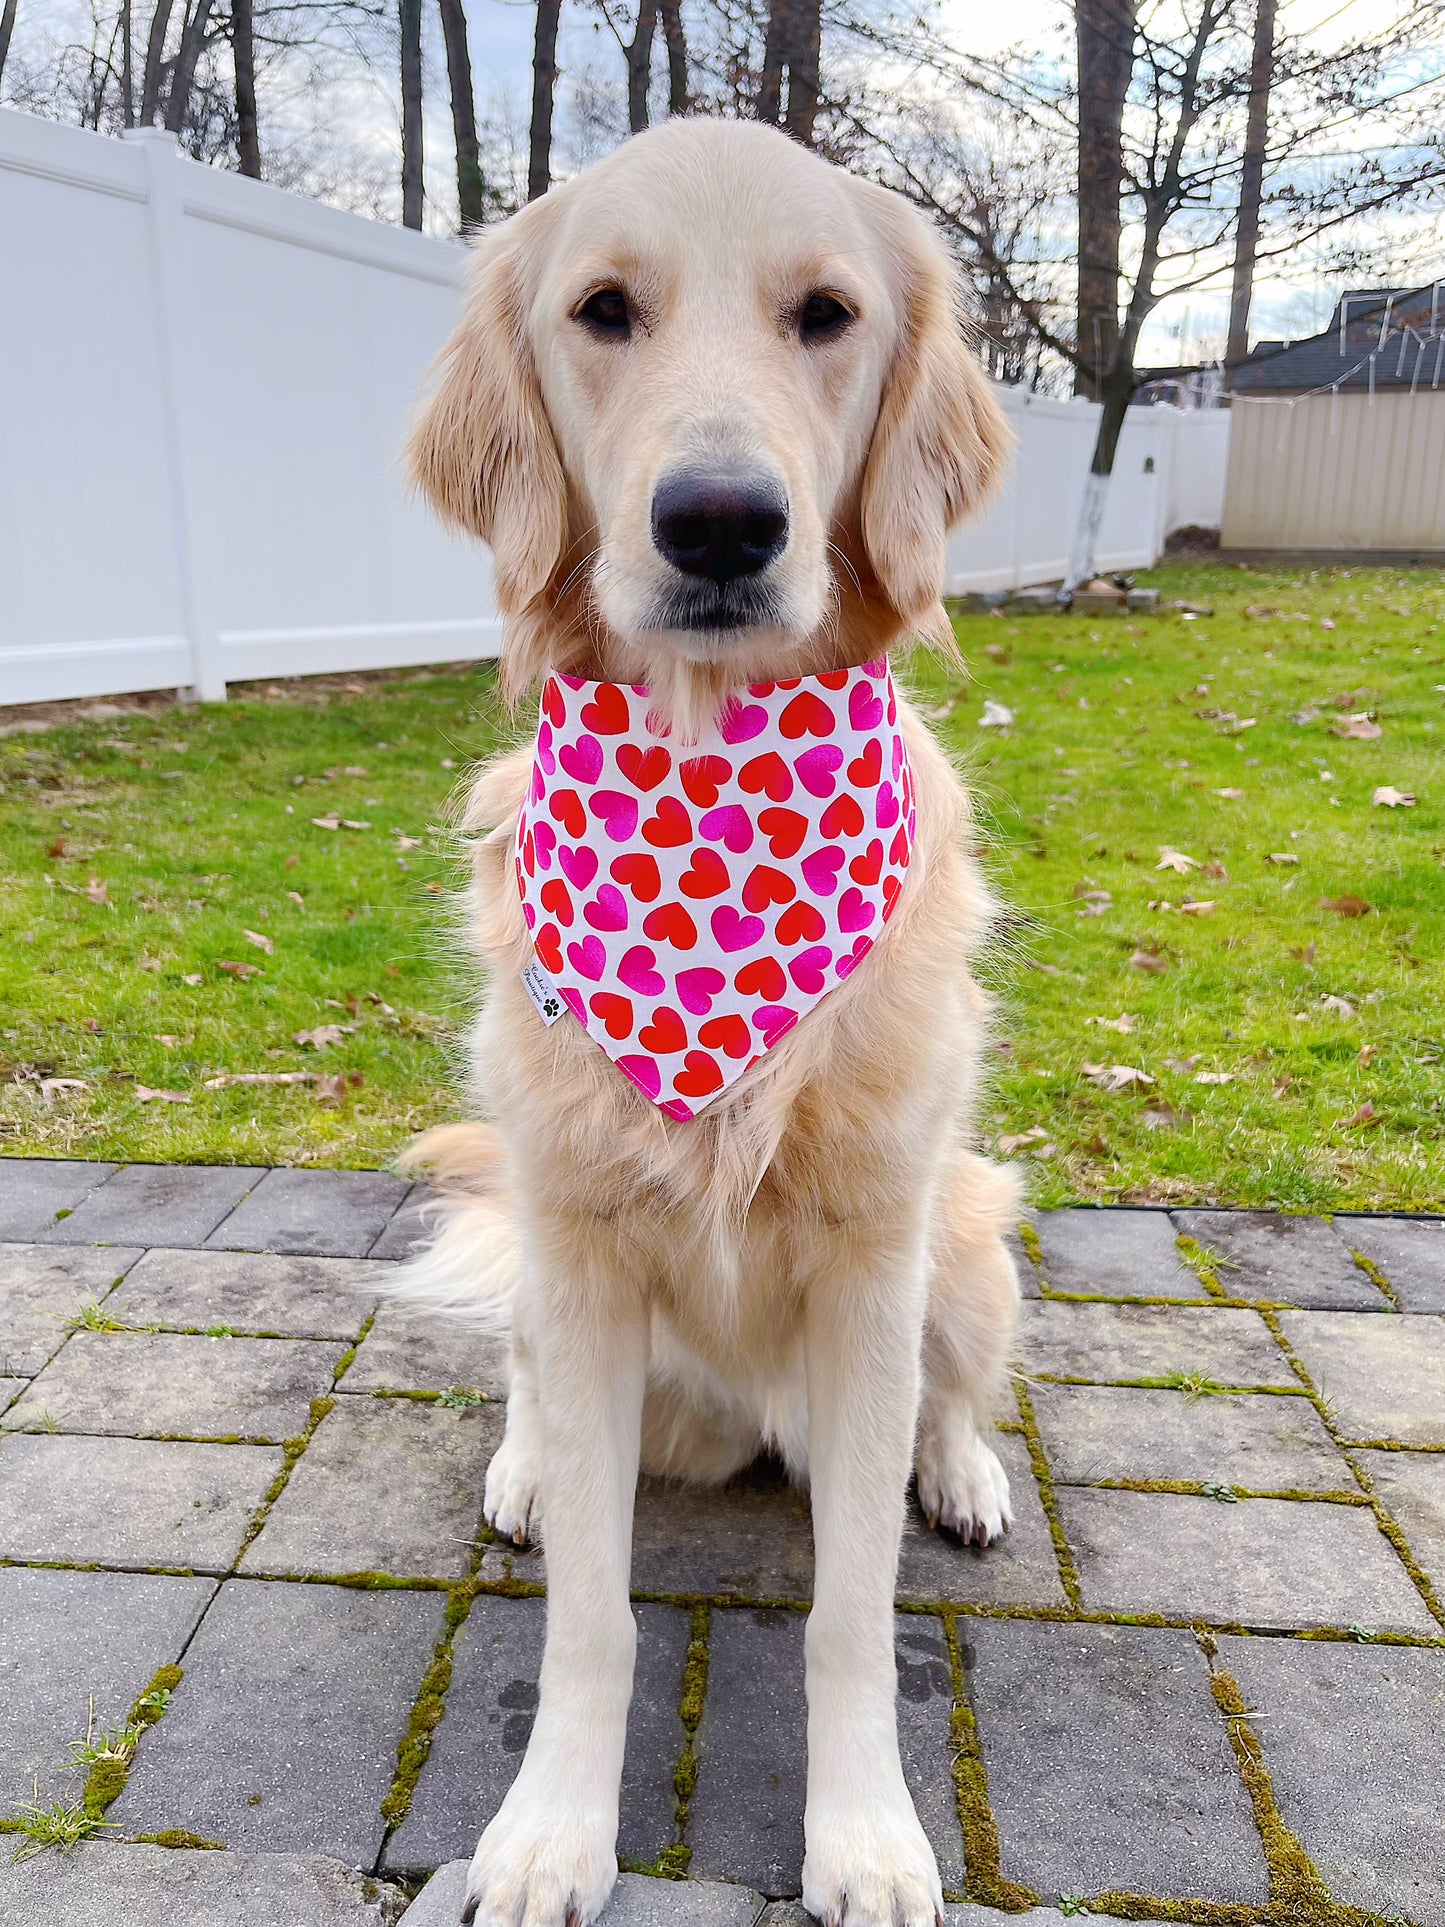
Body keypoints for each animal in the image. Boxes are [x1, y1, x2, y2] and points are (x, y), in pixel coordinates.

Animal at [398, 116, 1017, 1927]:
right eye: (605, 310)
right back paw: (528, 1467)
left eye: (827, 315)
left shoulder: (879, 1264)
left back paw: (964, 1471)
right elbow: (593, 1621)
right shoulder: (584, 1250)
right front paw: (546, 1829)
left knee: (962, 1390)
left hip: (971, 1232)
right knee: (532, 1384)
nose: (723, 522)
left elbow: (850, 1618)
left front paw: (866, 1833)